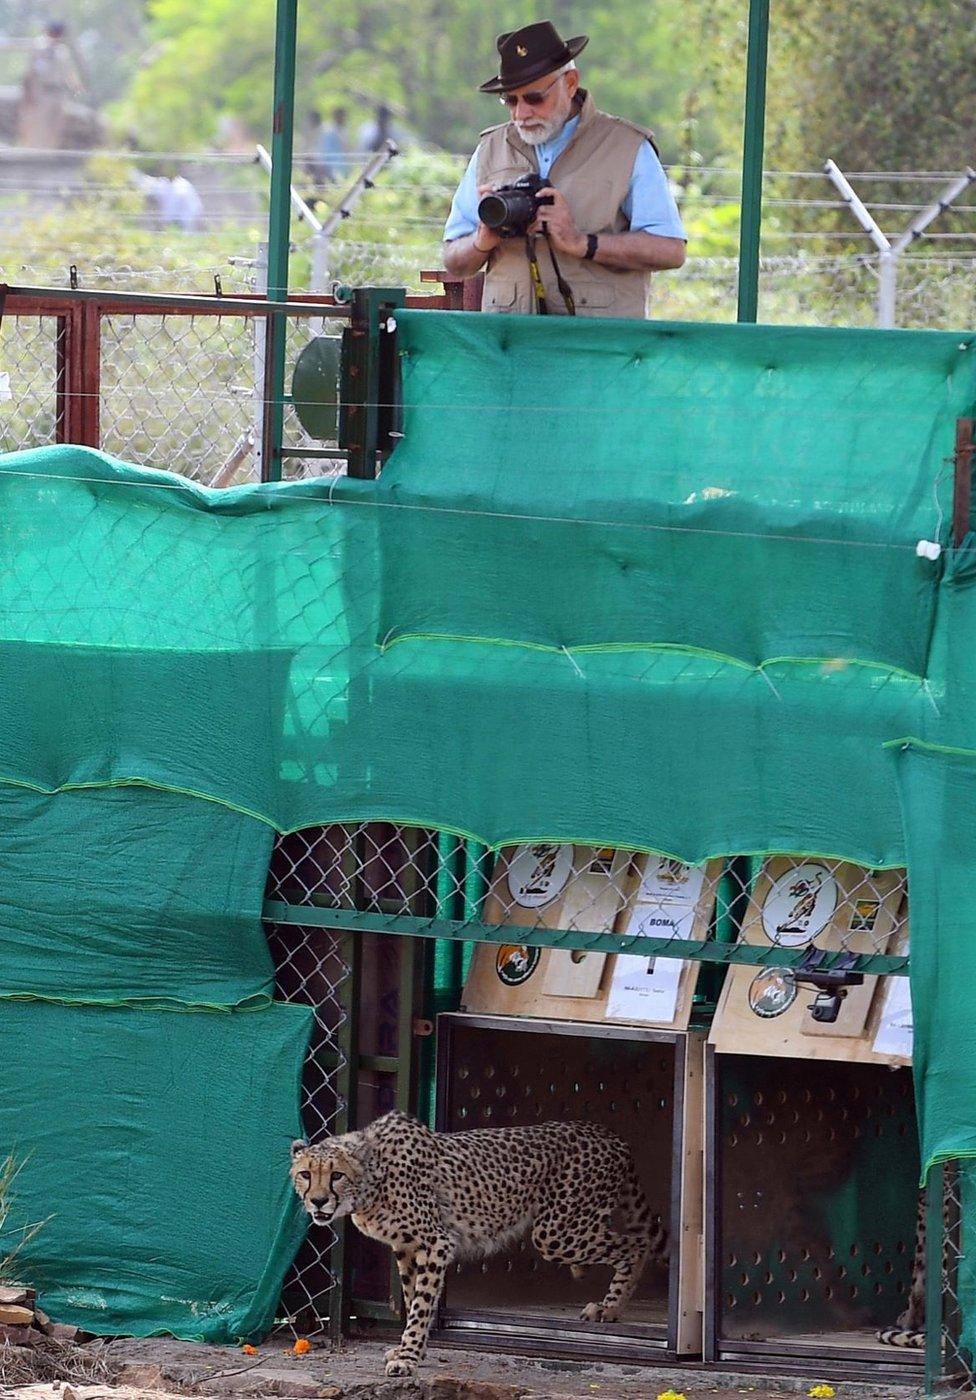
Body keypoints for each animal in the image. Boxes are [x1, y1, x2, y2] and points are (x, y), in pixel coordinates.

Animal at [289, 1114, 663, 1377]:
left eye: (336, 1175)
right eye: (306, 1174)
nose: (318, 1201)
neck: (371, 1179)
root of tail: (609, 1133)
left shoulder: (436, 1242)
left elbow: (421, 1304)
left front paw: (408, 1357)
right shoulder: (407, 1248)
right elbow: (413, 1299)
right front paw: (411, 1350)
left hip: (557, 1233)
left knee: (637, 1242)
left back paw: (610, 1308)